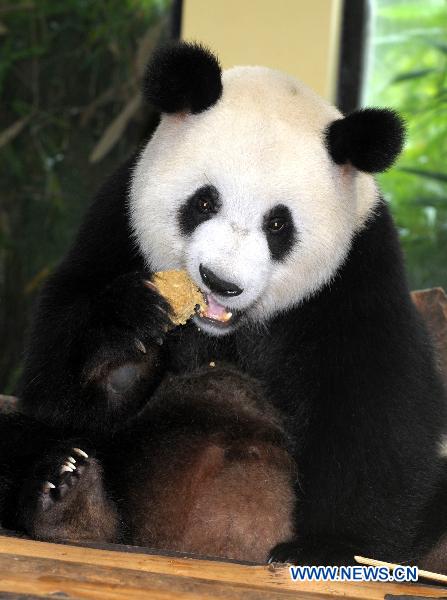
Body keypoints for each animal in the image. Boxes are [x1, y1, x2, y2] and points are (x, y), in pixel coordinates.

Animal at [0, 39, 447, 564]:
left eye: (278, 224)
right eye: (204, 202)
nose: (221, 281)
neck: (222, 332)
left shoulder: (356, 271)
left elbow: (374, 403)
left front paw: (327, 546)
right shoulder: (117, 220)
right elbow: (56, 378)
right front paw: (127, 348)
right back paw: (71, 499)